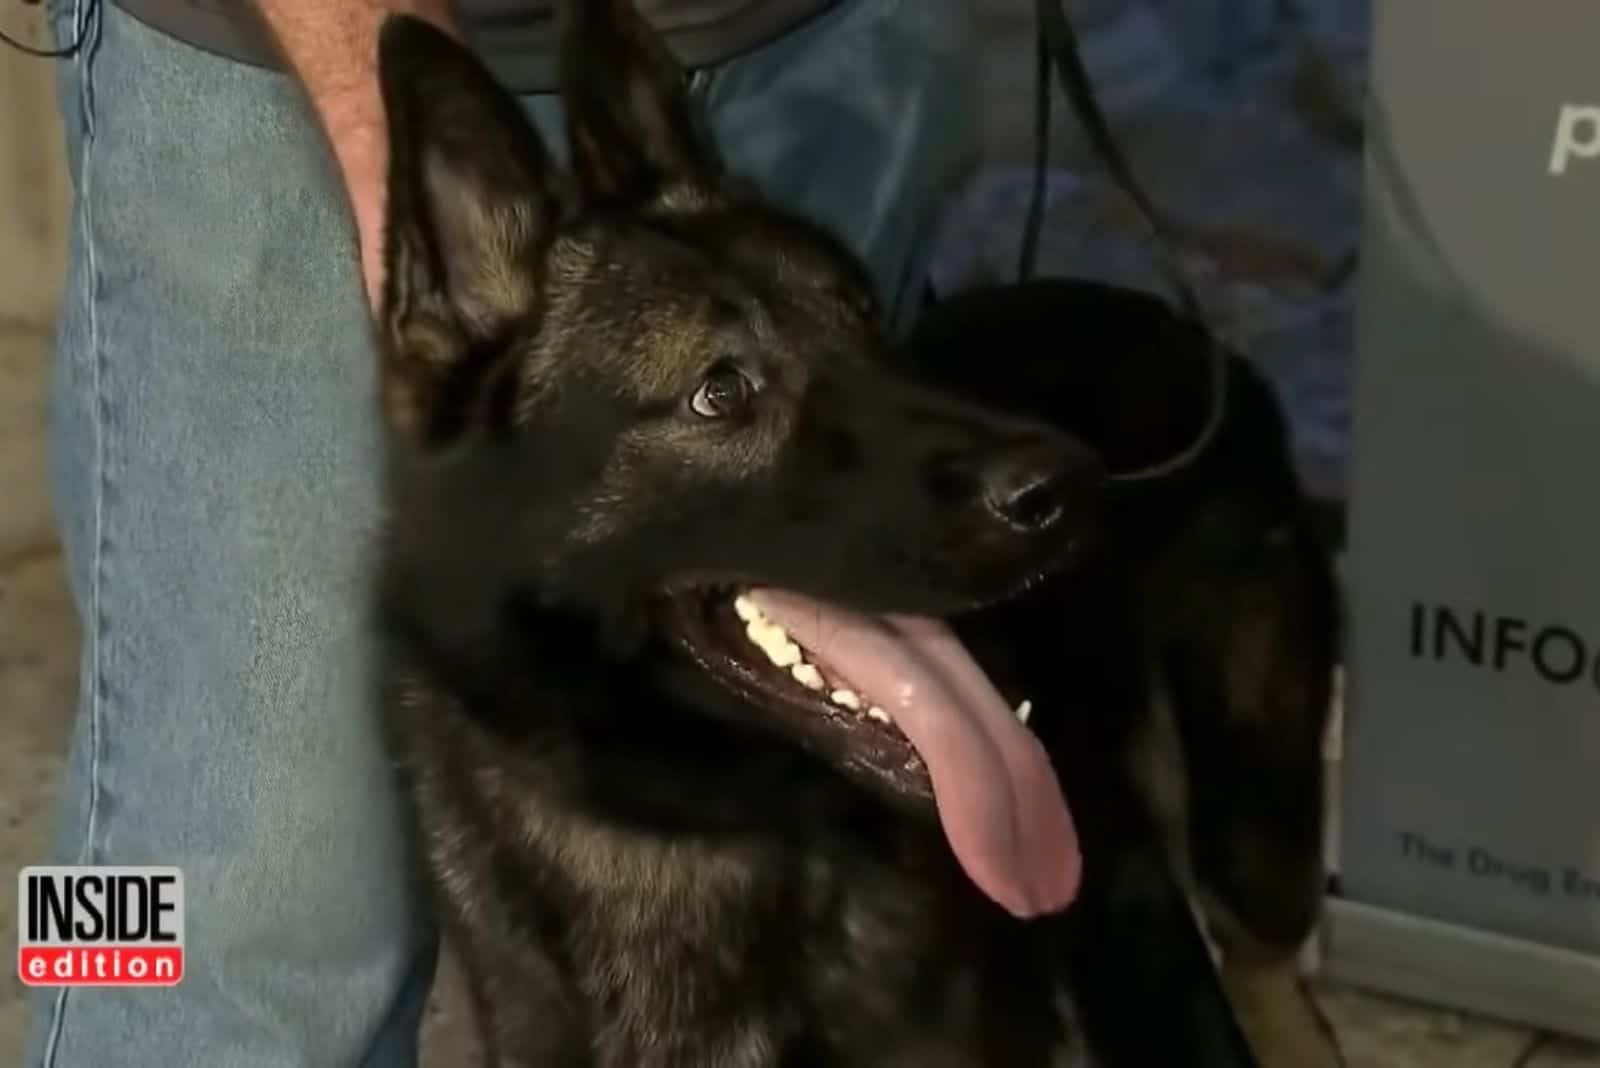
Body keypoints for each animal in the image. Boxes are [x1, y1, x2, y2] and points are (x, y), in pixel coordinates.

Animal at [368, 4, 1344, 1061]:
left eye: (867, 319)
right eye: (721, 392)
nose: (1073, 486)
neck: (690, 835)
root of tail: (1182, 326)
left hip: (1249, 836)